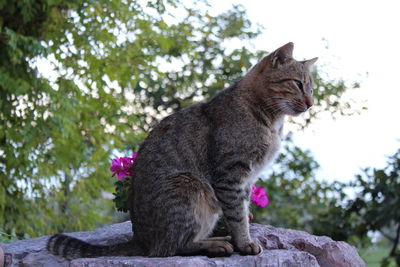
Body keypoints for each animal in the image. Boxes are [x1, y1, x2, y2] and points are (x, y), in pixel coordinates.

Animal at [47, 42, 318, 260]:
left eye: (311, 89)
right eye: (298, 84)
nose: (310, 103)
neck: (271, 121)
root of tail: (139, 240)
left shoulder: (247, 179)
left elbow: (242, 210)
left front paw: (242, 239)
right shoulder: (231, 174)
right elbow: (238, 216)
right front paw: (245, 243)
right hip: (188, 186)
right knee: (171, 248)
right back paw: (216, 245)